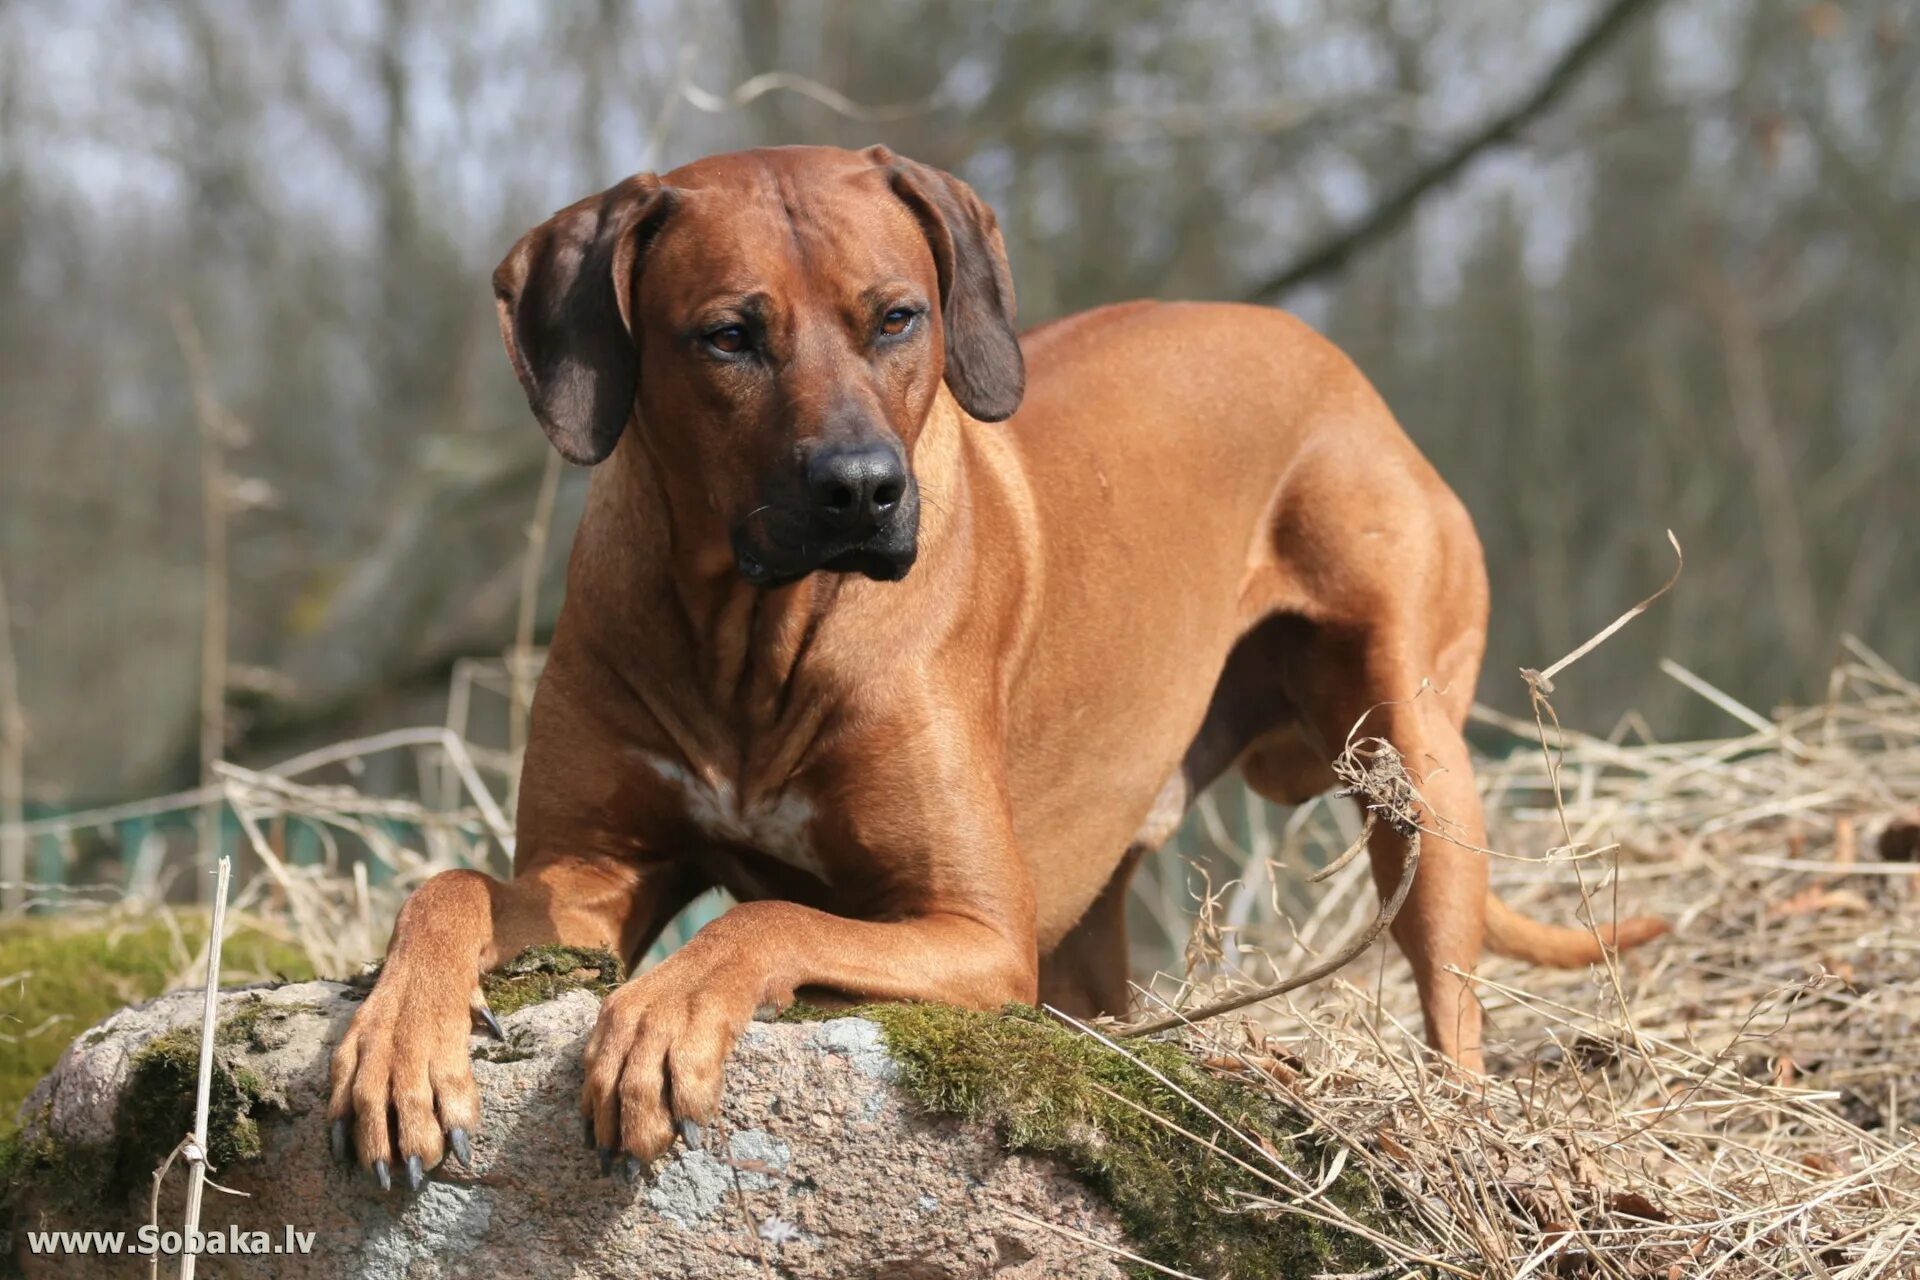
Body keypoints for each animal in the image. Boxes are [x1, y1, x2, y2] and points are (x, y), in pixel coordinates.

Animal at [326, 144, 1651, 1189]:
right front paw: (398, 1043)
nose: (862, 489)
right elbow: (448, 885)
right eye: (728, 337)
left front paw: (666, 1013)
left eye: (897, 317)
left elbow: (764, 913)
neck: (755, 631)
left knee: (1450, 991)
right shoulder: (585, 881)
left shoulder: (974, 930)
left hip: (1412, 755)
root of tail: (1329, 355)